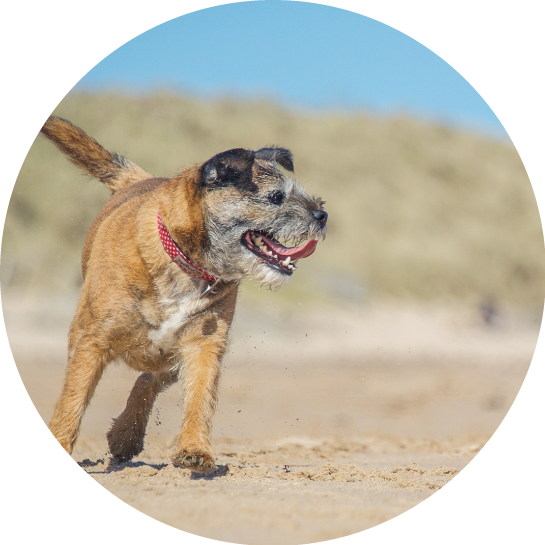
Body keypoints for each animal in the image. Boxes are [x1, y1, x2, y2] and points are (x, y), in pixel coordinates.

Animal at [23, 115, 326, 472]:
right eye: (276, 197)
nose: (323, 215)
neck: (185, 259)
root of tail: (141, 180)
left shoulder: (204, 345)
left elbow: (200, 398)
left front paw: (195, 449)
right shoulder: (91, 340)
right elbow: (72, 397)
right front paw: (53, 455)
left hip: (169, 355)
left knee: (148, 380)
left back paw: (126, 434)